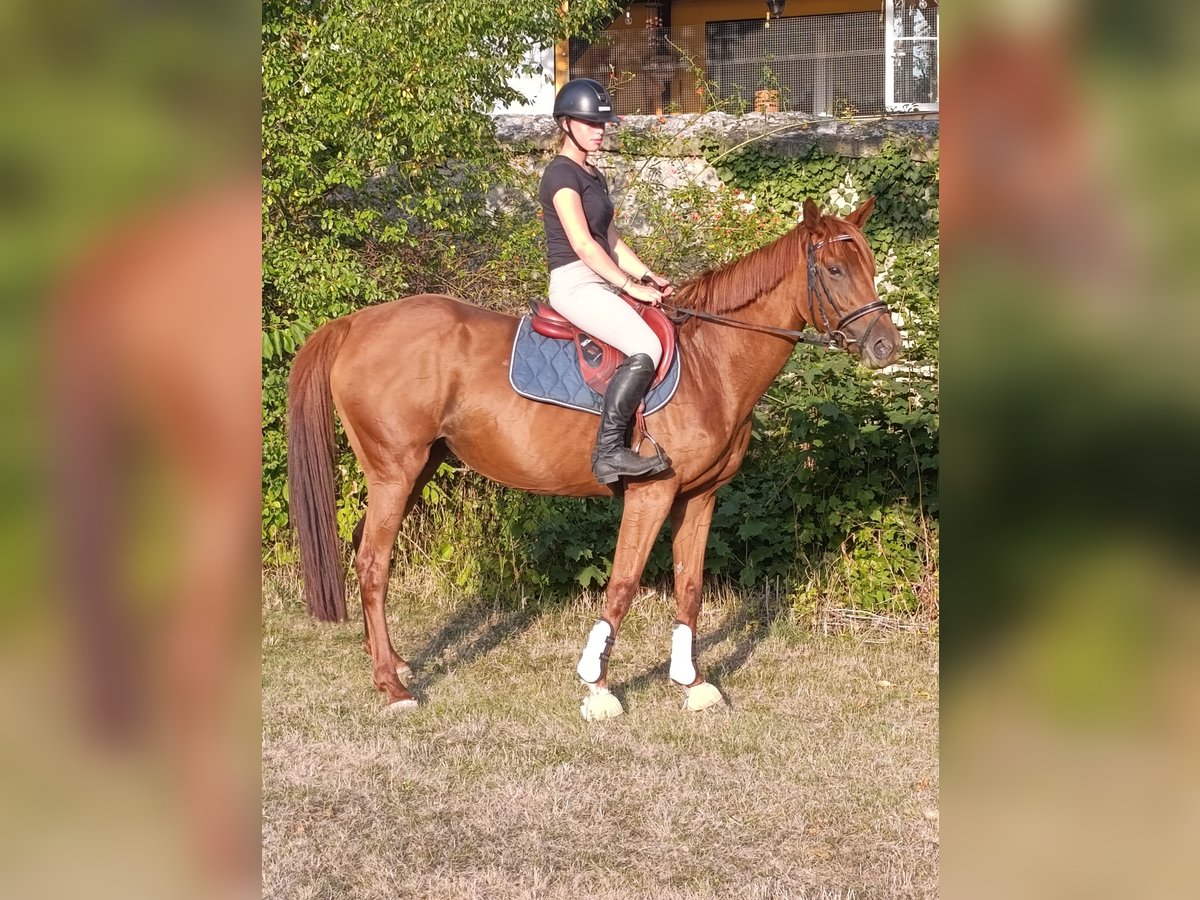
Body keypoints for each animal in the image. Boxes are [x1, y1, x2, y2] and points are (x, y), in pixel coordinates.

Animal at [287, 196, 902, 719]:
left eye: (869, 263)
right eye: (835, 270)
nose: (886, 346)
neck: (710, 361)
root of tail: (356, 323)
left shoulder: (701, 497)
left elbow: (689, 586)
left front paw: (693, 684)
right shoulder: (652, 493)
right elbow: (624, 584)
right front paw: (598, 686)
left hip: (415, 470)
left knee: (368, 553)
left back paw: (390, 664)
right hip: (395, 472)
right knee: (373, 563)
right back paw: (392, 688)